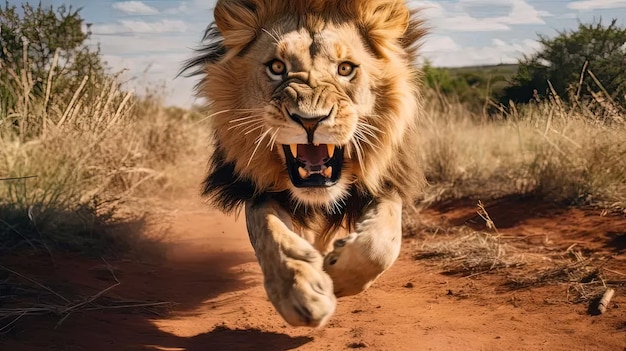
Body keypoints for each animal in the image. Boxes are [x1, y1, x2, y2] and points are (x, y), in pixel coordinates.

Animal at [180, 0, 424, 330]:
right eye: (277, 67)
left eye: (345, 69)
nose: (310, 120)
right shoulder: (258, 189)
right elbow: (270, 233)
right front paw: (301, 291)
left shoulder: (386, 180)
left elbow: (381, 245)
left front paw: (338, 274)